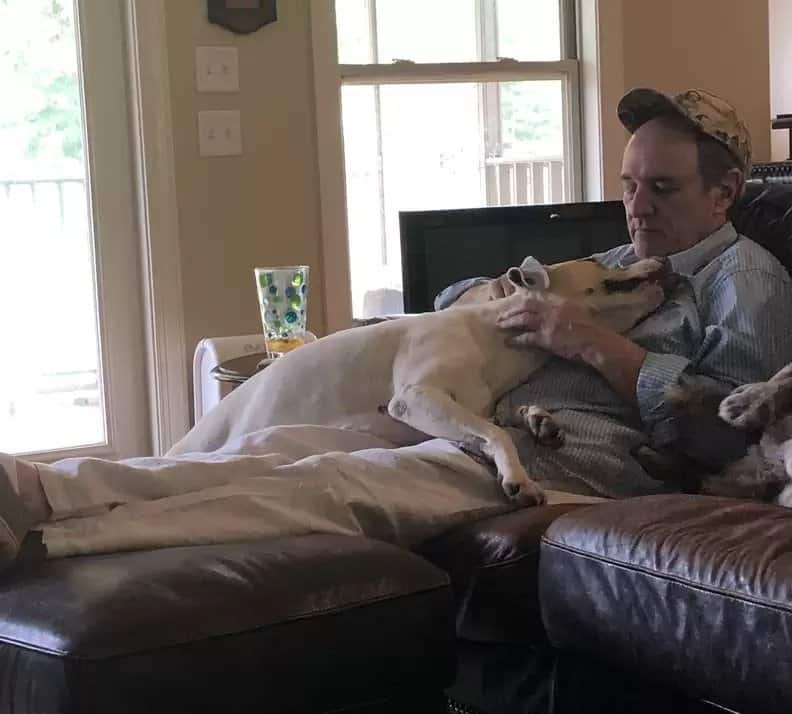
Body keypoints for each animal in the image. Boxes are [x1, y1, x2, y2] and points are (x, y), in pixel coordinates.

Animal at [170, 254, 672, 500]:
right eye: (602, 265)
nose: (664, 262)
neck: (492, 336)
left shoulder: (456, 412)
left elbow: (496, 424)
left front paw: (537, 420)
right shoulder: (417, 398)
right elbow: (495, 433)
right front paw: (518, 478)